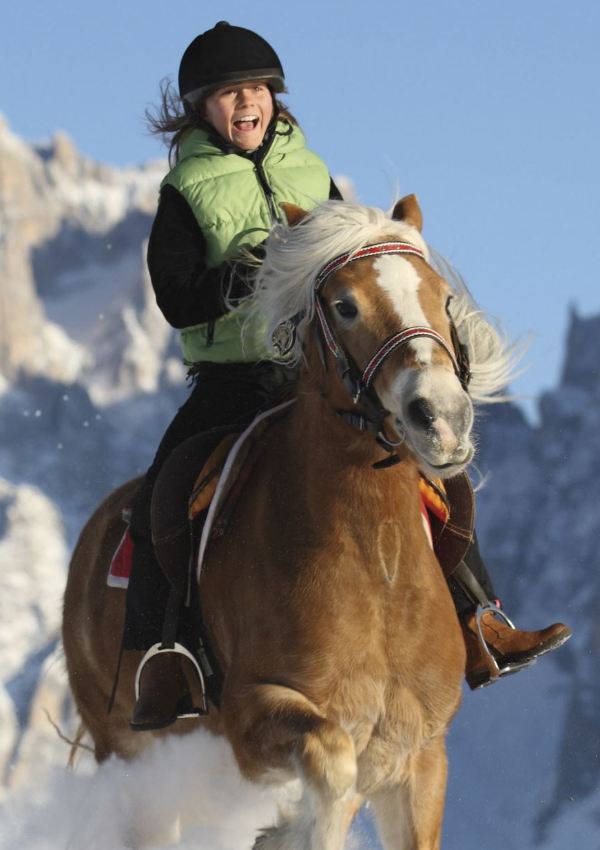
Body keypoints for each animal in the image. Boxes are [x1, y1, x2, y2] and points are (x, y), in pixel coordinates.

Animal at [63, 195, 516, 849]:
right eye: (345, 305)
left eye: (441, 295)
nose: (441, 418)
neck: (374, 569)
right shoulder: (252, 718)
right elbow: (330, 768)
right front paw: (290, 830)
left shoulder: (421, 755)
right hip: (129, 752)